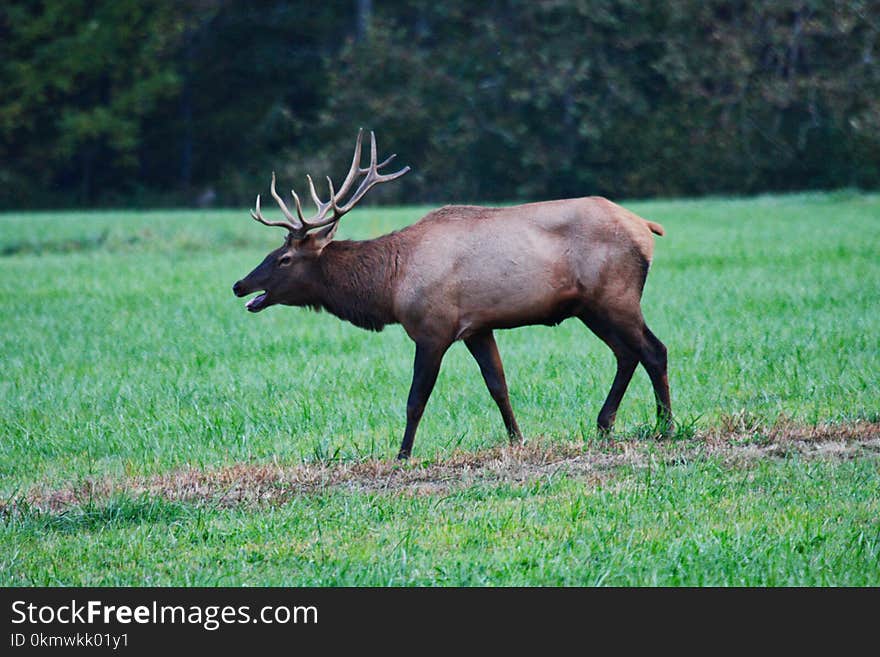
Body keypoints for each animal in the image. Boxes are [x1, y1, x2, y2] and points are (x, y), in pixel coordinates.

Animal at [230, 128, 672, 456]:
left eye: (284, 258)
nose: (240, 285)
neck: (390, 285)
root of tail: (647, 226)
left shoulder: (433, 328)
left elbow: (416, 399)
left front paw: (402, 454)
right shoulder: (477, 327)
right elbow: (498, 386)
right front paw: (518, 439)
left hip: (615, 296)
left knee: (653, 350)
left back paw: (665, 426)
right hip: (591, 307)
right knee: (626, 354)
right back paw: (604, 425)